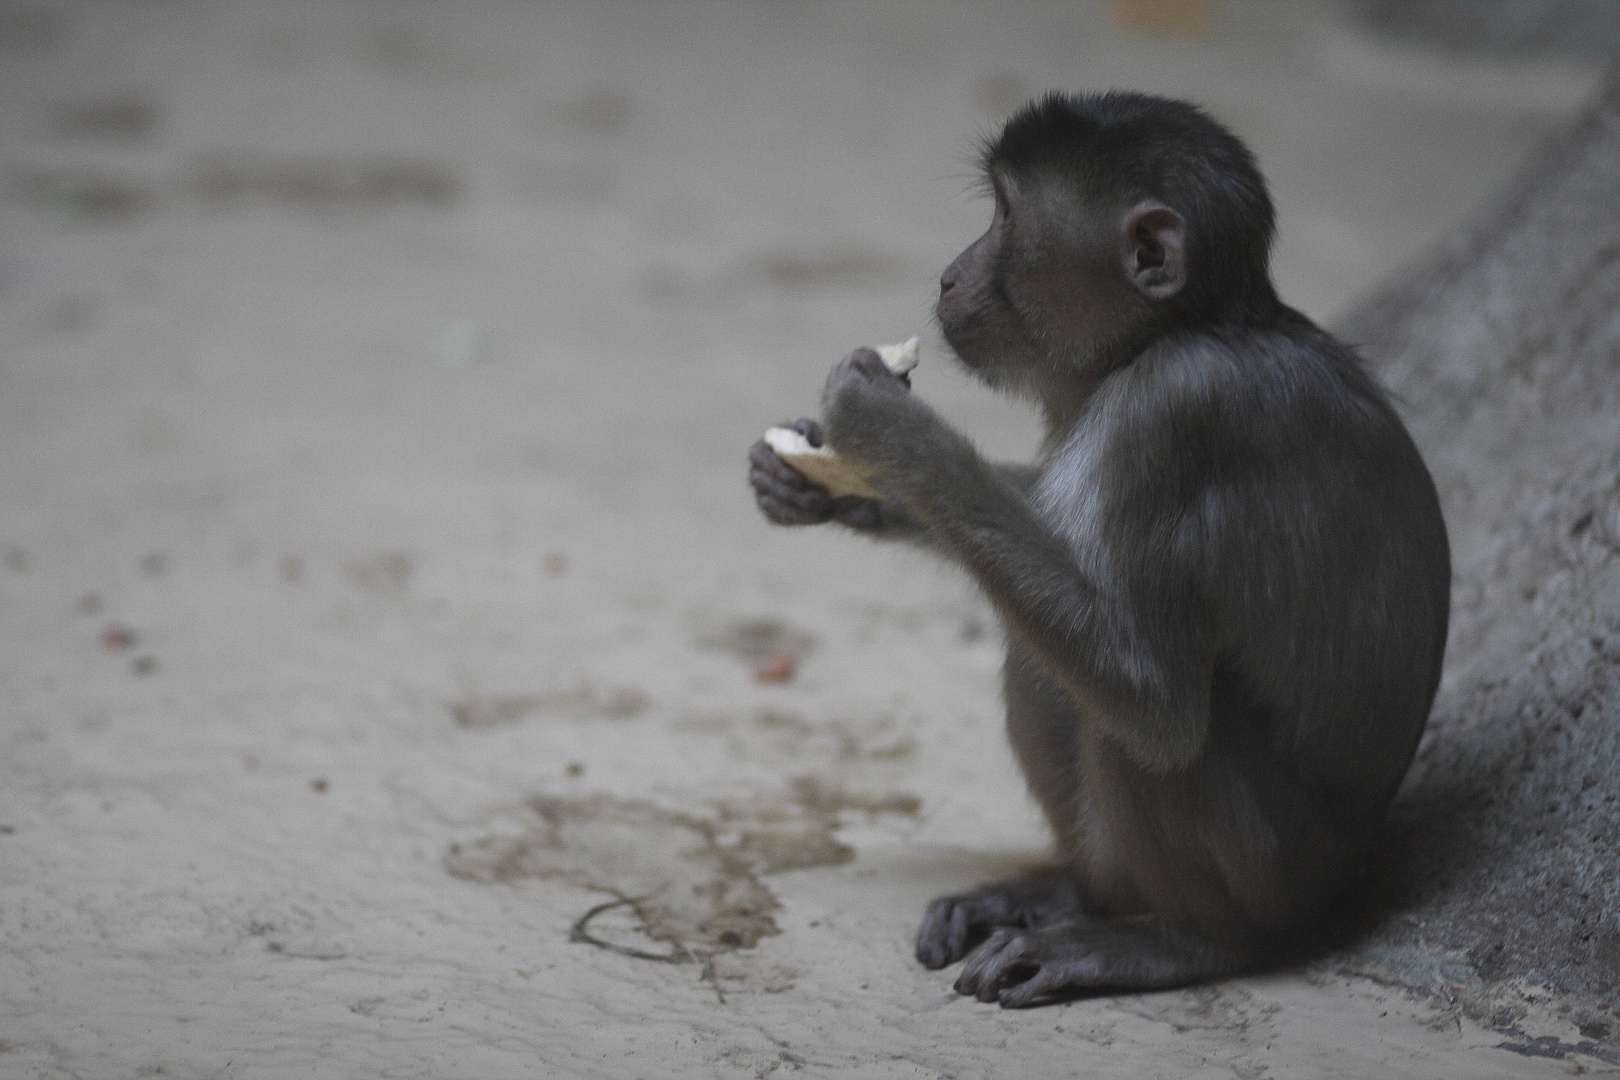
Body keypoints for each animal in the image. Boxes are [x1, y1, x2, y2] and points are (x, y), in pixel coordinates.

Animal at [748, 93, 1458, 1003]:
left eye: (1006, 217)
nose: (948, 274)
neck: (1178, 333)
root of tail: (1344, 885)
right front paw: (827, 485)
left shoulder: (1173, 414)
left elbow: (1151, 702)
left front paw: (890, 436)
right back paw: (1069, 897)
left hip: (1270, 876)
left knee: (1119, 709)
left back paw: (1182, 940)